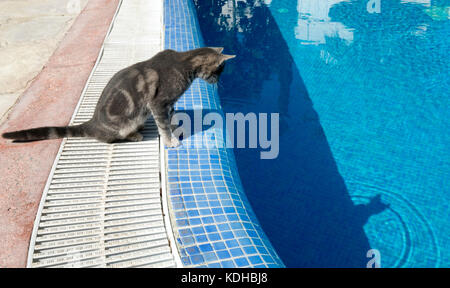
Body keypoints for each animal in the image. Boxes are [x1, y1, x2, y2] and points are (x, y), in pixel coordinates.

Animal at [1, 47, 236, 147]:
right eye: (220, 70)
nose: (218, 81)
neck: (184, 62)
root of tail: (93, 122)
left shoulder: (168, 104)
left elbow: (171, 118)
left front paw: (175, 126)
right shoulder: (158, 103)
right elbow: (163, 125)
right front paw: (170, 141)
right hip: (124, 123)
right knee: (108, 138)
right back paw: (134, 135)